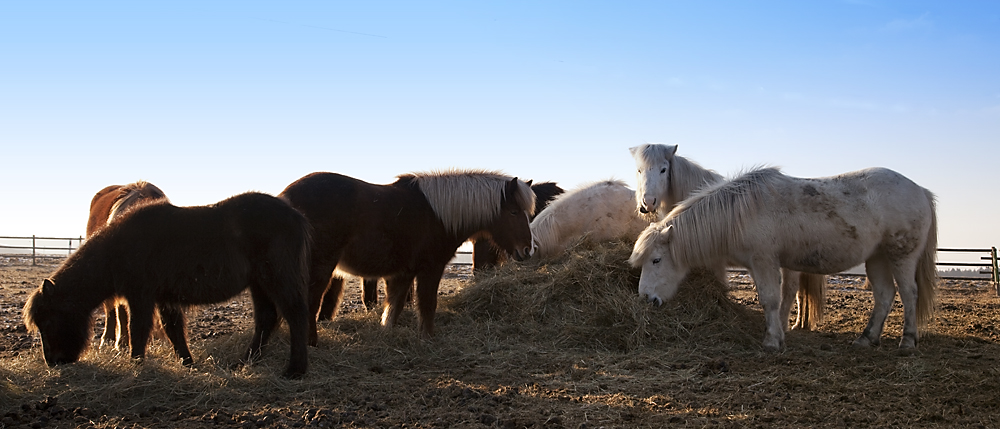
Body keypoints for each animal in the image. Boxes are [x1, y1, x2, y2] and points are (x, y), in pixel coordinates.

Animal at [278, 169, 536, 342]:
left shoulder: (403, 274)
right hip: (321, 267)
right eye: (514, 212)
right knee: (311, 303)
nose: (527, 250)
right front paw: (428, 338)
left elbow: (395, 307)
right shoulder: (430, 269)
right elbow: (427, 304)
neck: (438, 215)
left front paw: (388, 334)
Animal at [628, 166, 940, 350]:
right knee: (885, 295)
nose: (646, 298)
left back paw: (908, 341)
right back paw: (866, 338)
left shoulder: (764, 262)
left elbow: (770, 300)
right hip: (877, 258)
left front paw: (771, 341)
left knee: (909, 293)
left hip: (901, 256)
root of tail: (921, 191)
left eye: (656, 261)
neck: (740, 212)